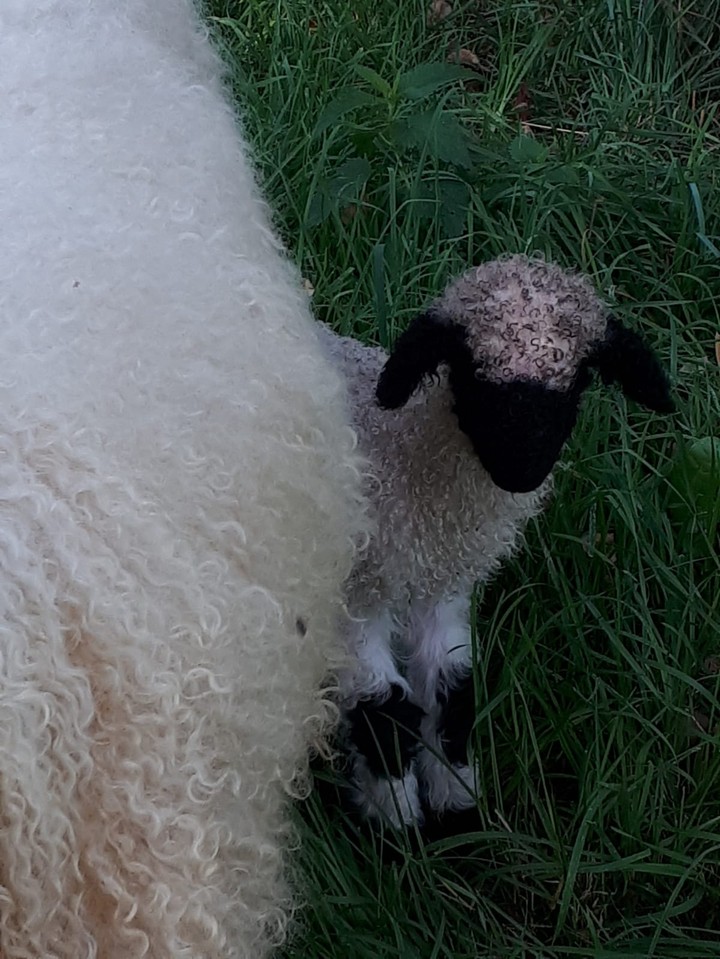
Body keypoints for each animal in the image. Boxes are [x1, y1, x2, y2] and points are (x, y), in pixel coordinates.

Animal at [318, 254, 673, 827]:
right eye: (470, 373)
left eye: (576, 384)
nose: (521, 472)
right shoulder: (357, 595)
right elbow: (383, 709)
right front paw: (396, 821)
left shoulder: (441, 585)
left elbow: (453, 687)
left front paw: (457, 807)